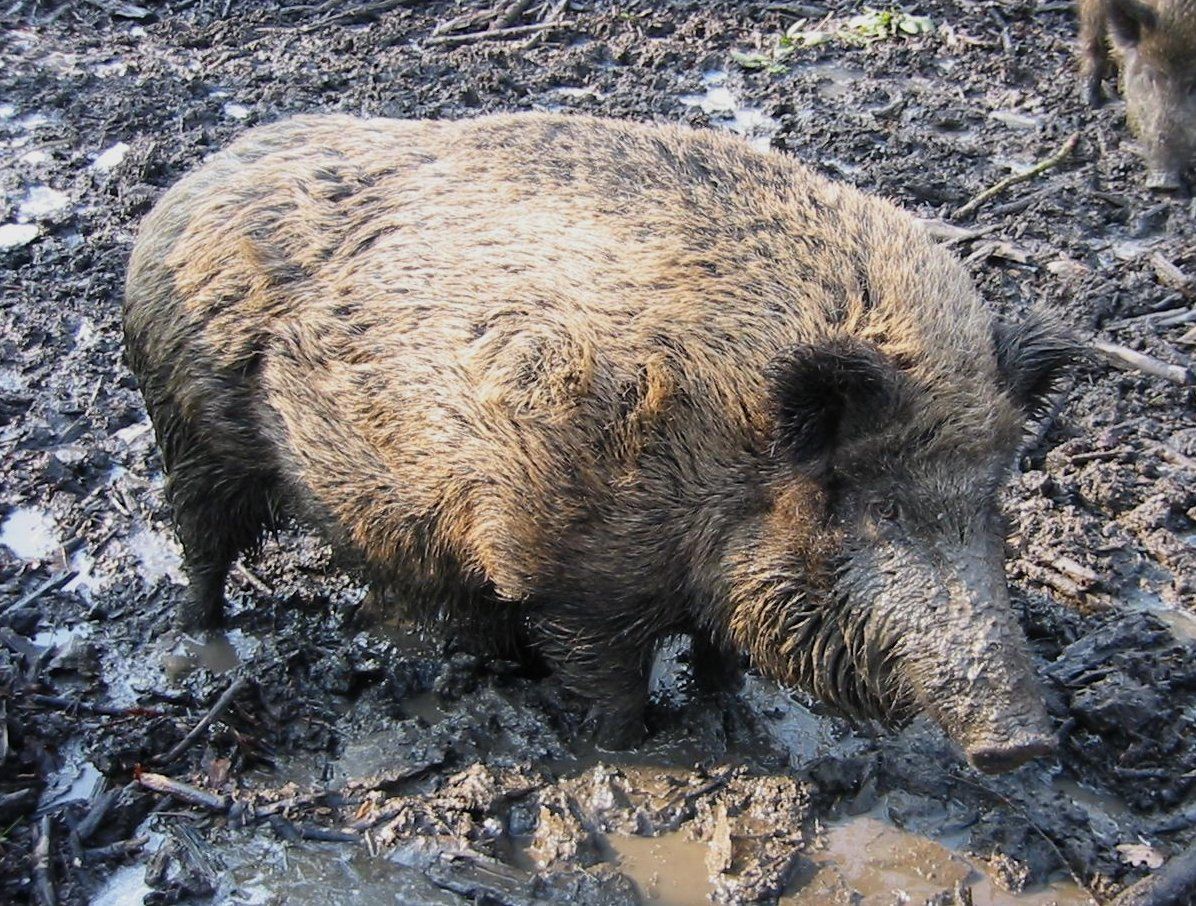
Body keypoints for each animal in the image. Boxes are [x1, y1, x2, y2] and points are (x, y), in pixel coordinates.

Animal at [123, 113, 1073, 773]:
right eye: (880, 508)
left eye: (991, 501)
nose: (1026, 741)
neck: (734, 445)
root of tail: (181, 192)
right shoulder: (573, 574)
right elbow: (610, 682)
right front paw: (626, 751)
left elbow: (718, 655)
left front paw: (726, 710)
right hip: (189, 425)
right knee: (203, 545)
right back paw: (199, 641)